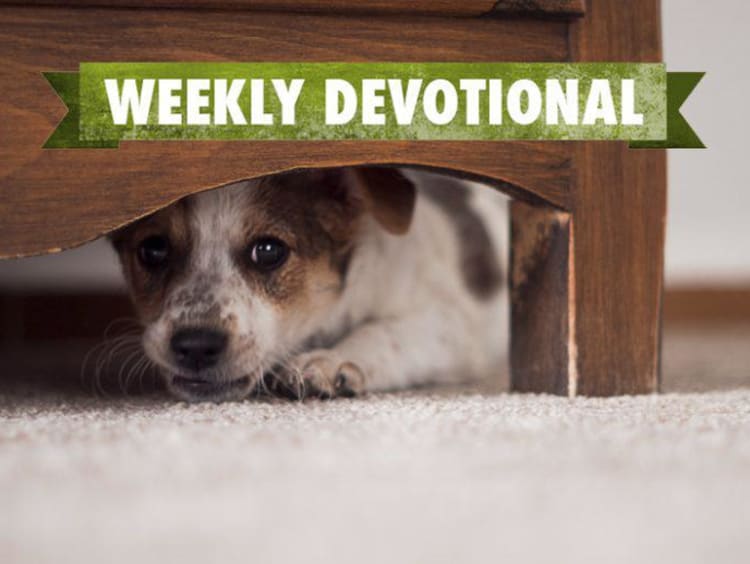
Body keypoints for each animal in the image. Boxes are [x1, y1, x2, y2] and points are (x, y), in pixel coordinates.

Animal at [111, 167, 508, 400]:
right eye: (153, 250)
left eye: (269, 251)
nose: (195, 345)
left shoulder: (448, 323)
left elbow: (384, 331)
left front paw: (332, 360)